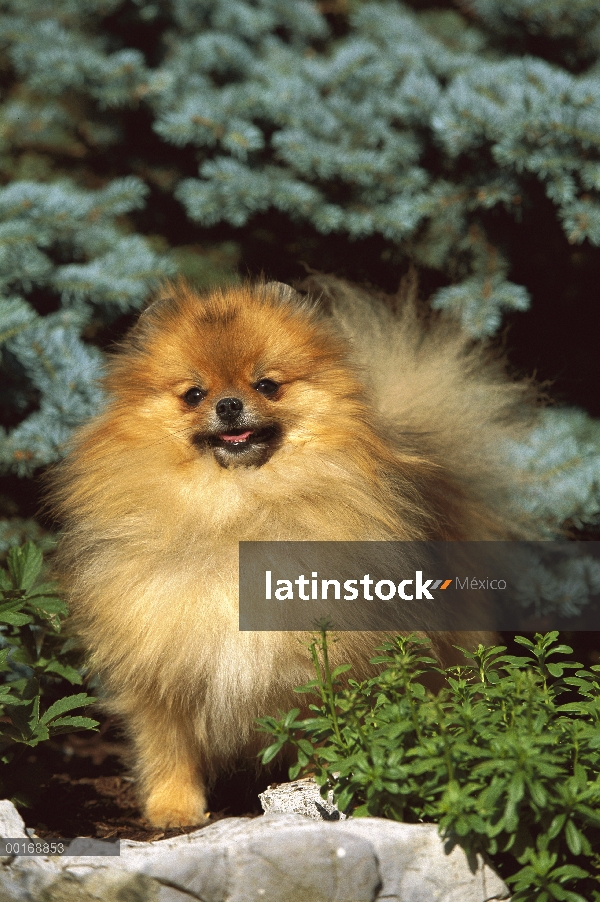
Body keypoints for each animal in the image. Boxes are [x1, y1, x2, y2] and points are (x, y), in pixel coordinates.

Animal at [50, 276, 540, 828]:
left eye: (266, 385)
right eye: (194, 394)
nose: (228, 405)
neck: (236, 512)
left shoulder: (314, 670)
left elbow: (318, 734)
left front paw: (308, 791)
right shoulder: (165, 668)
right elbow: (169, 749)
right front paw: (173, 808)